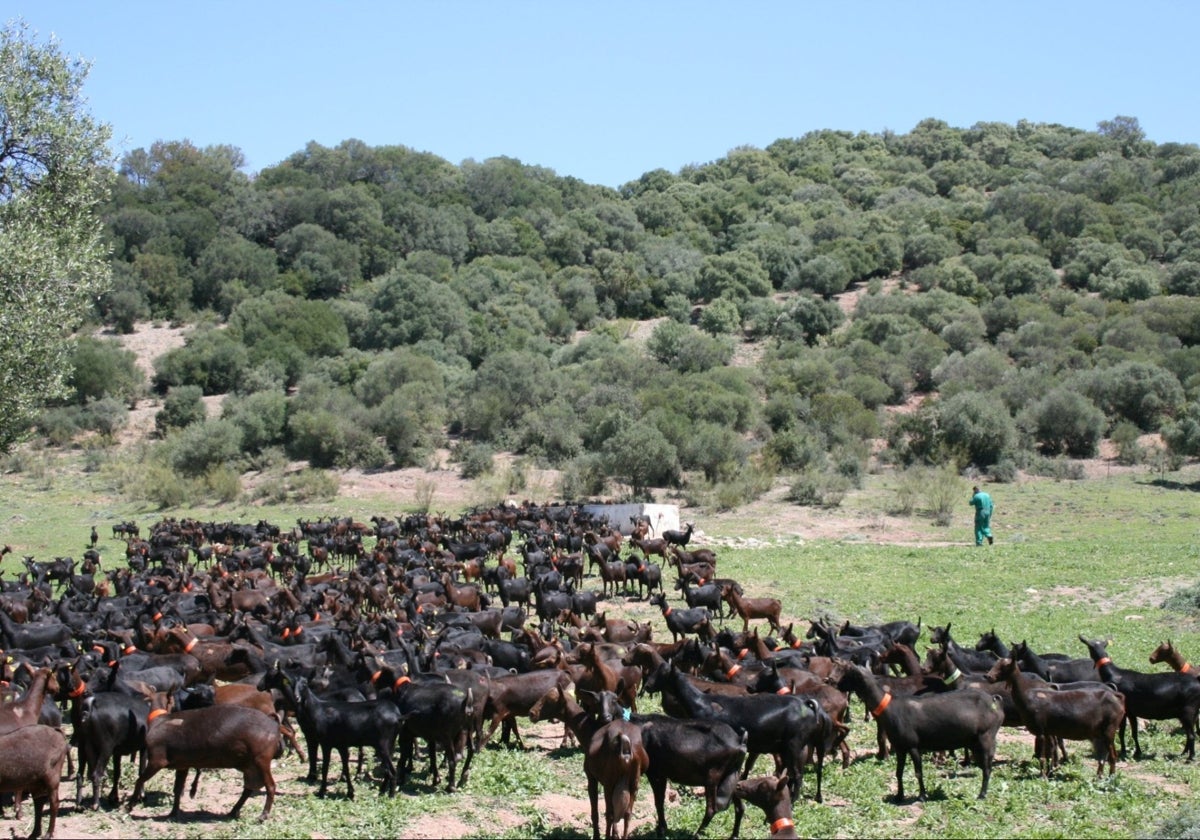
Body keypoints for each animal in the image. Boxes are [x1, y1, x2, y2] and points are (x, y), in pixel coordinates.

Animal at [835, 662, 1003, 801]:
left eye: (849, 674)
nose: (835, 684)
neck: (890, 707)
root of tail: (994, 700)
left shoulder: (913, 745)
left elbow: (918, 772)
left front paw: (922, 795)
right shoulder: (900, 747)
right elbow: (899, 772)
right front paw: (899, 795)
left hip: (986, 737)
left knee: (987, 768)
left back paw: (982, 795)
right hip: (975, 742)